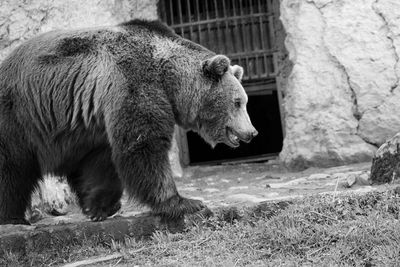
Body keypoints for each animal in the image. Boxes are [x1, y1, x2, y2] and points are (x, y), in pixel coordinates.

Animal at [0, 18, 256, 225]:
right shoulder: (134, 82)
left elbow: (99, 161)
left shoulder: (91, 122)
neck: (169, 78)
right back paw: (14, 217)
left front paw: (100, 207)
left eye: (244, 101)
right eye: (237, 102)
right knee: (12, 169)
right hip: (19, 116)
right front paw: (185, 202)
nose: (252, 132)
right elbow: (144, 145)